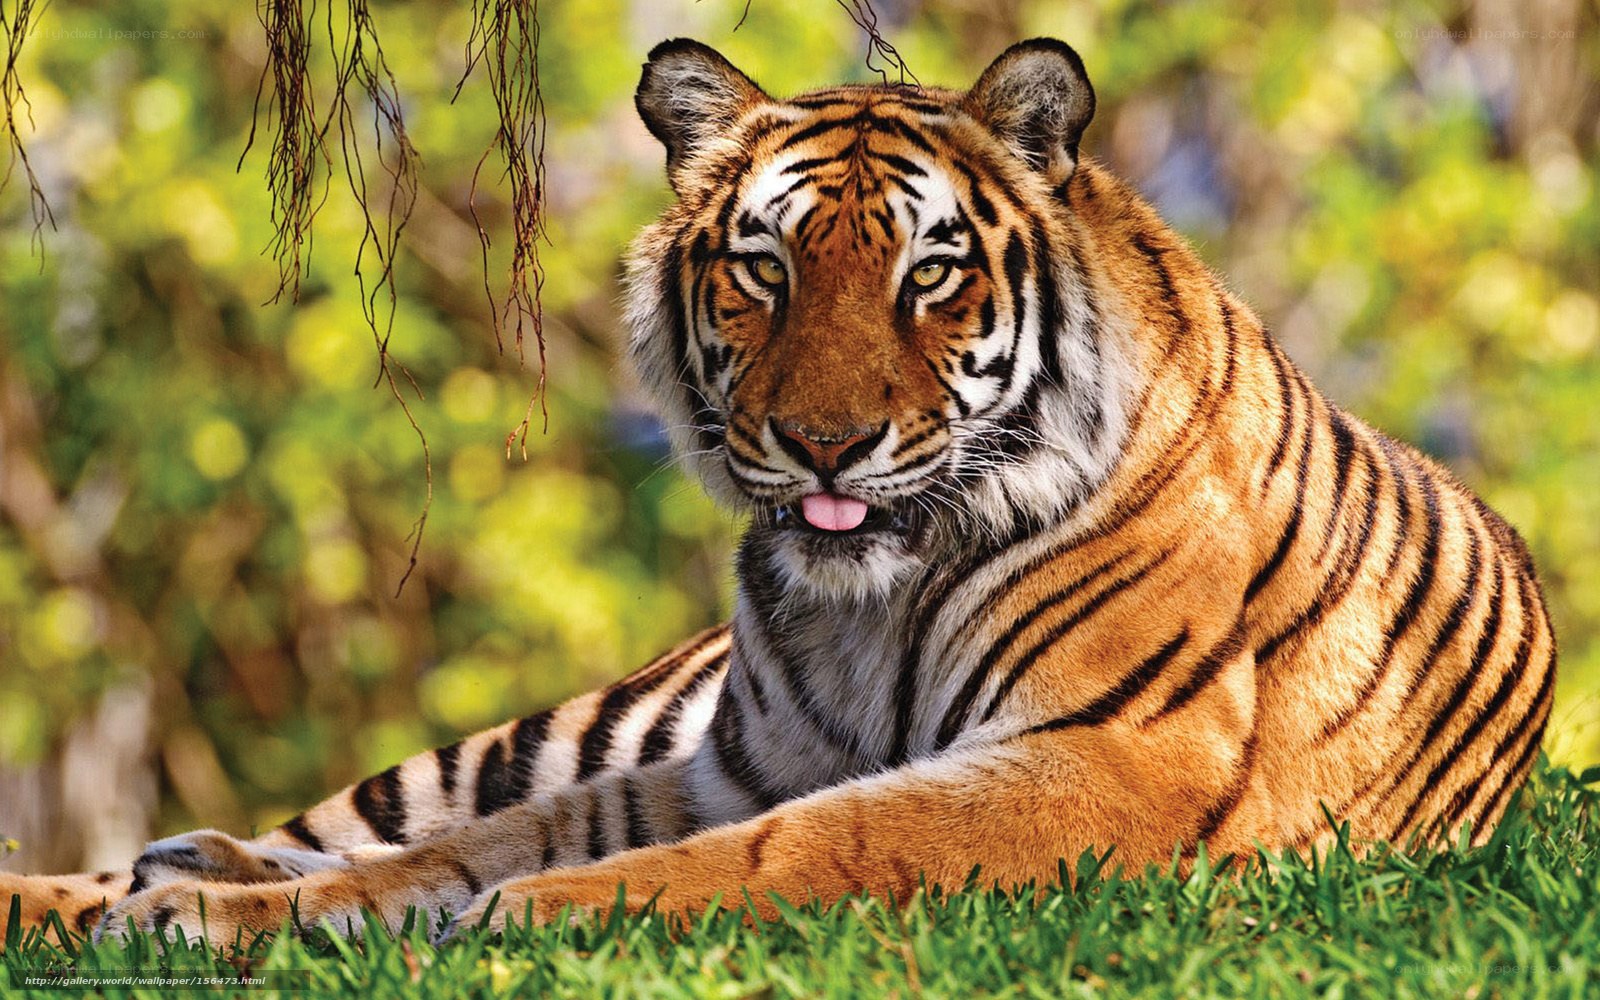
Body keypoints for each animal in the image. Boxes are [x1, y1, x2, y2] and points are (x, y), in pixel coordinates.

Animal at [1, 37, 1556, 947]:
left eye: (930, 272)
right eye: (765, 267)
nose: (823, 444)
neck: (867, 604)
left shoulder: (1107, 759)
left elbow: (801, 846)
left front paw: (519, 918)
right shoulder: (724, 761)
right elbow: (461, 847)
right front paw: (211, 915)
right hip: (540, 730)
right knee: (344, 823)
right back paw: (141, 879)